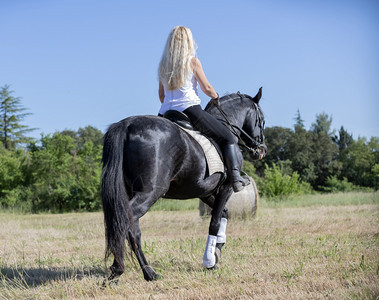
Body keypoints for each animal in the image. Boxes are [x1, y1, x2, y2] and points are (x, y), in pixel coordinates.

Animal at [101, 88, 268, 282]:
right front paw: (209, 261)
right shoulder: (226, 188)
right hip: (150, 192)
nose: (261, 150)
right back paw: (134, 271)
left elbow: (224, 214)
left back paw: (133, 270)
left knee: (129, 226)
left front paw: (217, 251)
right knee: (126, 221)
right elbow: (214, 222)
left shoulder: (205, 192)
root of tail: (127, 124)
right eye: (261, 120)